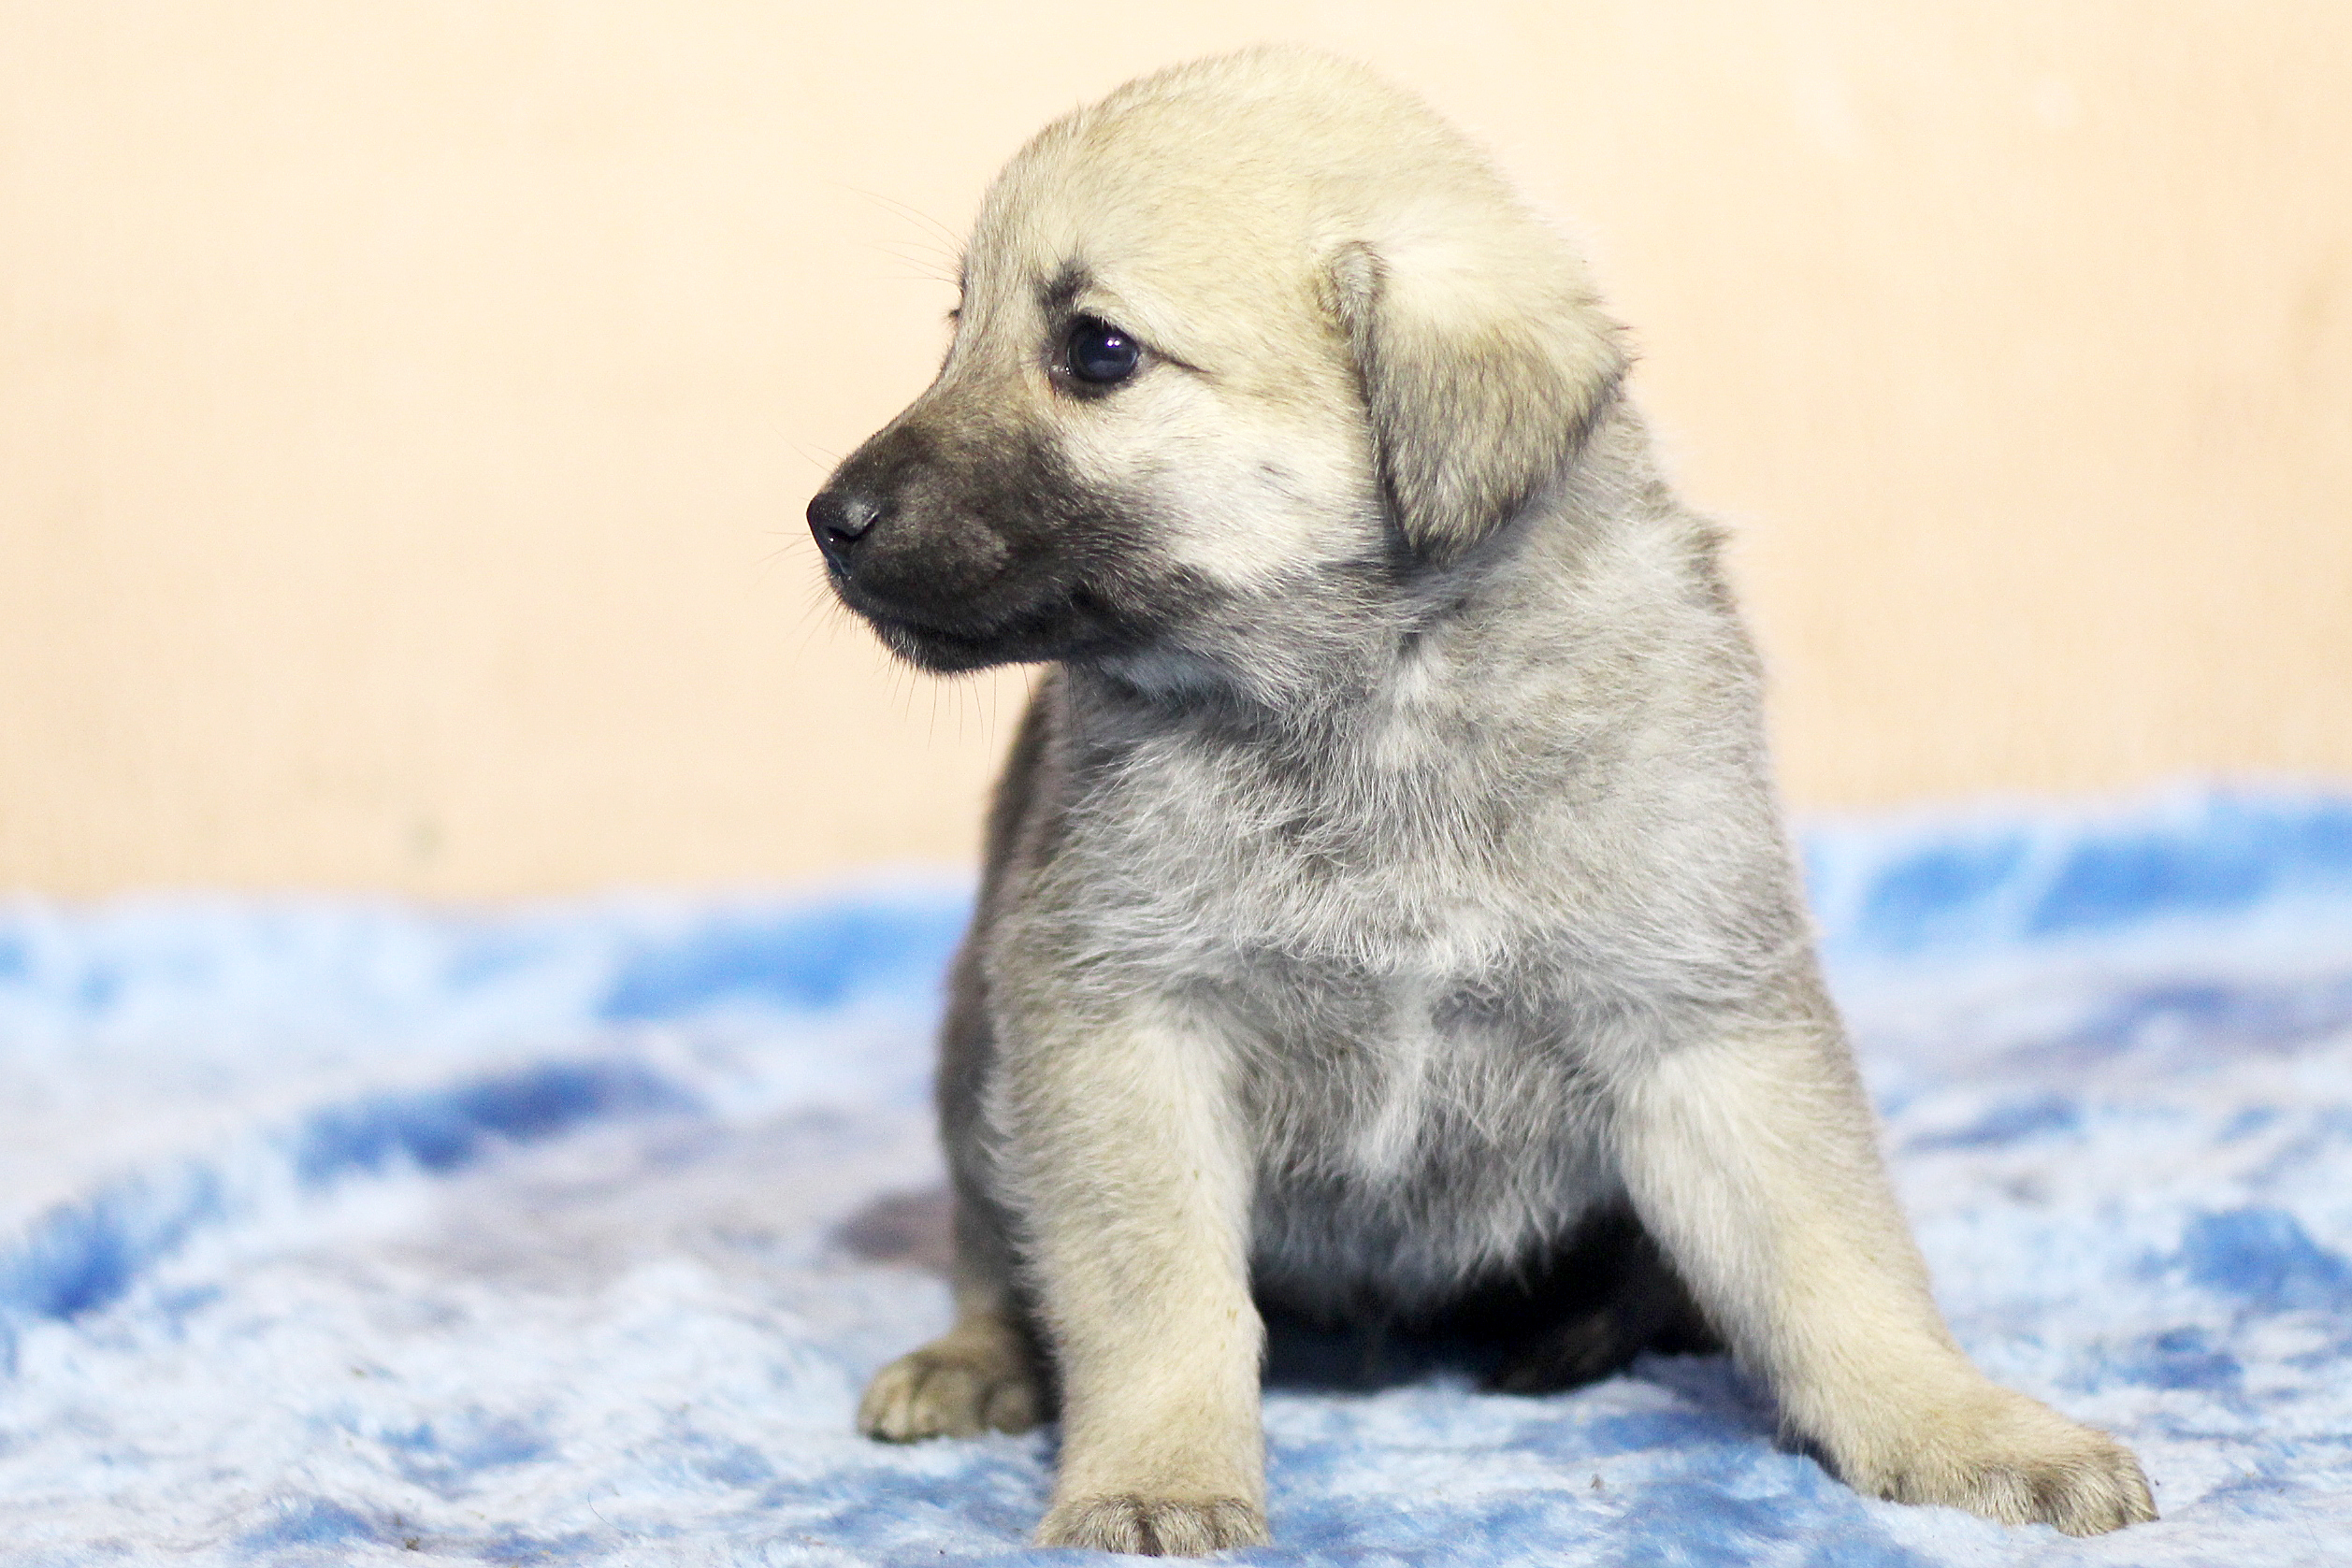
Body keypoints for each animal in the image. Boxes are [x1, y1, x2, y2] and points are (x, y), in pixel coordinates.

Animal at [806, 47, 2156, 1555]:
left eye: (1096, 351)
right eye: (958, 326)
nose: (828, 520)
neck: (1384, 688)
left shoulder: (1704, 1022)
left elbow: (1832, 1261)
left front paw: (1955, 1426)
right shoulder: (1116, 1025)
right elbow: (1152, 1293)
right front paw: (1153, 1469)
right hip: (970, 1051)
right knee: (995, 1250)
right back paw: (976, 1359)